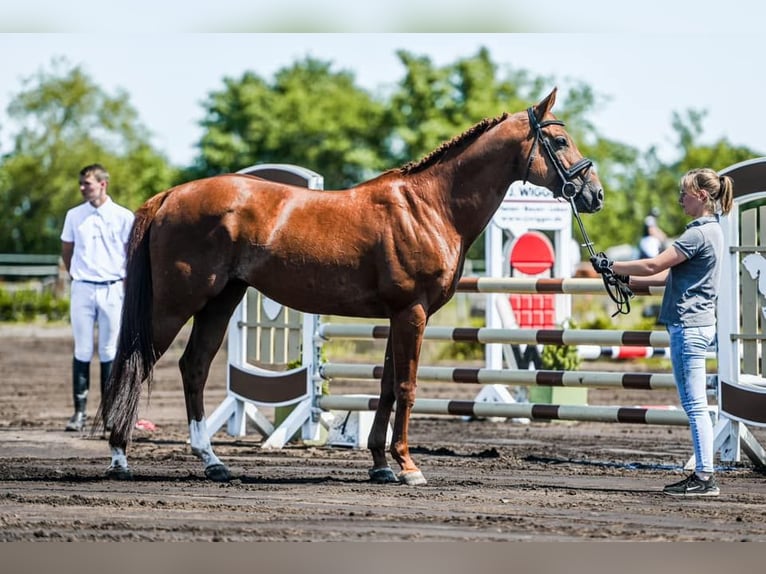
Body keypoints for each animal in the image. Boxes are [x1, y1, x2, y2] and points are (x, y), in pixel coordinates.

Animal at [100, 87, 604, 485]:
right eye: (560, 140)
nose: (594, 194)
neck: (430, 206)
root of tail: (169, 196)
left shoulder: (399, 315)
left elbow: (387, 387)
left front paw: (381, 464)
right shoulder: (412, 313)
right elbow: (407, 387)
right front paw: (408, 466)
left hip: (221, 300)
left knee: (194, 367)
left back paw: (212, 461)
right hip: (176, 302)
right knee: (137, 362)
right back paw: (120, 456)